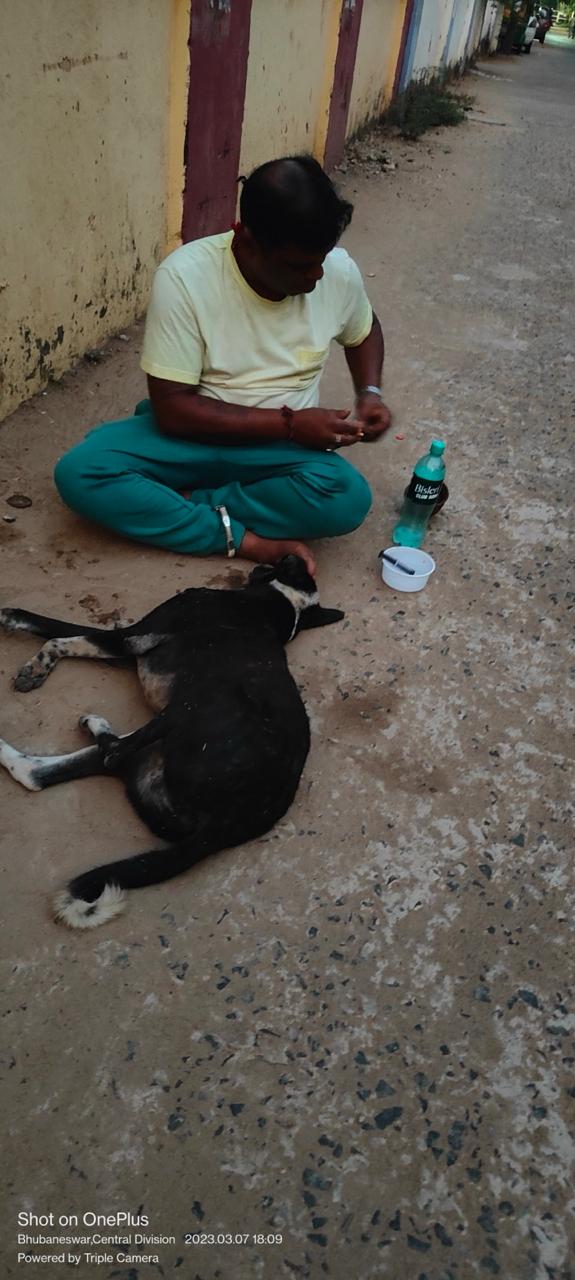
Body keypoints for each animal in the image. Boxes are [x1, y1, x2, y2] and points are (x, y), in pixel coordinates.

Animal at [0, 556, 343, 929]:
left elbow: (58, 635)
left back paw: (98, 725)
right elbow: (60, 632)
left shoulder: (130, 638)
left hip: (193, 705)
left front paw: (29, 653)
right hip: (150, 756)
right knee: (35, 773)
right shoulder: (126, 650)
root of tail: (227, 825)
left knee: (114, 752)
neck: (279, 604)